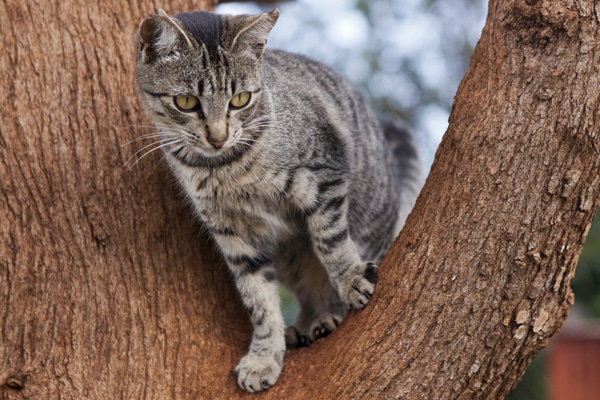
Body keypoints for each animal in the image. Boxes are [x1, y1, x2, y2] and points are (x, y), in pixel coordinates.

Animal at [134, 7, 420, 392]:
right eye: (186, 102)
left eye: (240, 99)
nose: (218, 138)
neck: (224, 167)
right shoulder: (233, 234)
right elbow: (259, 301)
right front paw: (264, 357)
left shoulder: (323, 173)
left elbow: (331, 244)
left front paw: (350, 279)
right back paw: (305, 325)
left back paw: (329, 316)